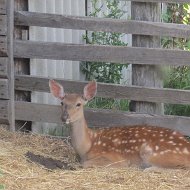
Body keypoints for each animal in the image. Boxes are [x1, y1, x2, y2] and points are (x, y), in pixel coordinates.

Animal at [48, 79, 190, 168]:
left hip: (151, 152)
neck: (87, 147)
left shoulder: (114, 158)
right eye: (62, 103)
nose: (64, 117)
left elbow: (85, 164)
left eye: (78, 104)